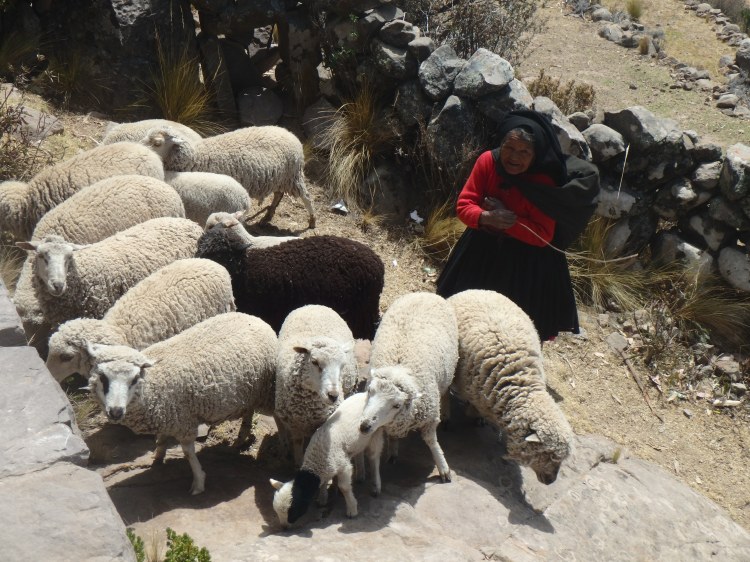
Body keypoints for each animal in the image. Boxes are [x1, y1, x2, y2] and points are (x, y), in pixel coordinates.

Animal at [86, 312, 277, 495]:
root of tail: (254, 318)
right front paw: (158, 457)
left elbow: (188, 453)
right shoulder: (167, 414)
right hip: (249, 392)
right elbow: (161, 439)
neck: (154, 382)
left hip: (265, 389)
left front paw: (198, 482)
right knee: (249, 411)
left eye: (134, 379)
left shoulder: (184, 420)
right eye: (102, 377)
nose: (116, 411)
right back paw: (241, 437)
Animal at [141, 125, 316, 228]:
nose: (139, 148)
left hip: (293, 175)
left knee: (307, 198)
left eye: (157, 143)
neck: (196, 156)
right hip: (281, 178)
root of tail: (291, 134)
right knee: (278, 194)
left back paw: (312, 220)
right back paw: (267, 216)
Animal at [270, 391, 385, 526]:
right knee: (359, 453)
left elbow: (344, 487)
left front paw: (352, 509)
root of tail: (364, 393)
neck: (317, 459)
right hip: (359, 441)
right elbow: (324, 483)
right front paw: (322, 498)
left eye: (293, 510)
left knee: (374, 457)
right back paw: (360, 475)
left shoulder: (343, 466)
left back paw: (376, 486)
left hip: (376, 431)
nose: (284, 527)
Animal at [275, 304, 359, 466]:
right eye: (314, 362)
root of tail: (315, 305)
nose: (333, 395)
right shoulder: (294, 423)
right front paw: (298, 464)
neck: (308, 407)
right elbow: (298, 444)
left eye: (342, 365)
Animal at [358, 292, 459, 483]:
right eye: (369, 391)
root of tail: (424, 293)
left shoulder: (430, 417)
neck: (398, 368)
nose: (365, 426)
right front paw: (393, 451)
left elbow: (431, 442)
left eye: (397, 405)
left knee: (446, 392)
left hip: (448, 373)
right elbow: (392, 436)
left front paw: (443, 467)